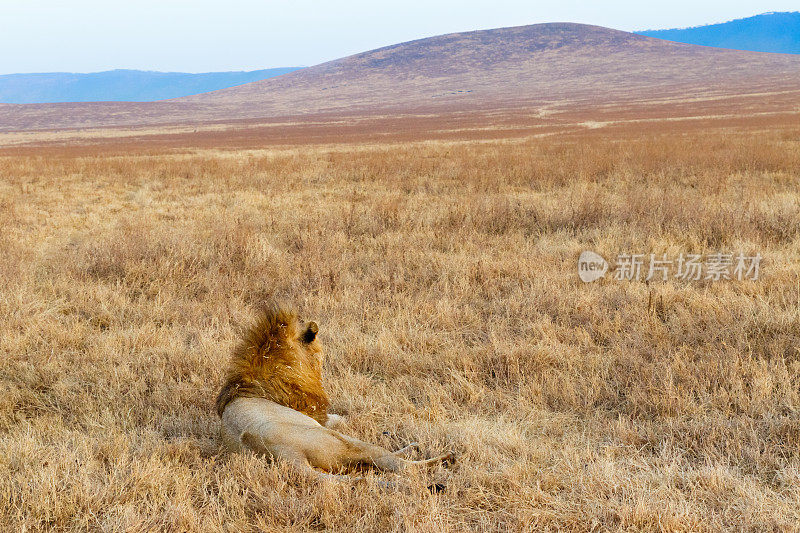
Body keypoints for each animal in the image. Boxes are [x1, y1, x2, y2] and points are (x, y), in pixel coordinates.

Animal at [216, 304, 454, 482]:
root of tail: (286, 456)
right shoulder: (320, 416)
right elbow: (346, 417)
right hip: (339, 440)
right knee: (398, 465)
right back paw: (442, 458)